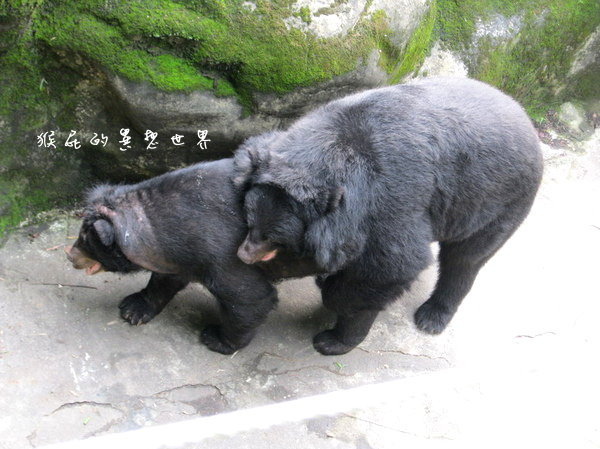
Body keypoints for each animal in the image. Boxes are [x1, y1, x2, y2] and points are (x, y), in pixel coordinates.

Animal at [232, 78, 540, 356]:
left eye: (275, 239)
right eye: (249, 221)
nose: (243, 255)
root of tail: (524, 116)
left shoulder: (387, 201)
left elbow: (388, 267)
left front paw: (332, 338)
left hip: (498, 200)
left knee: (465, 259)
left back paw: (432, 316)